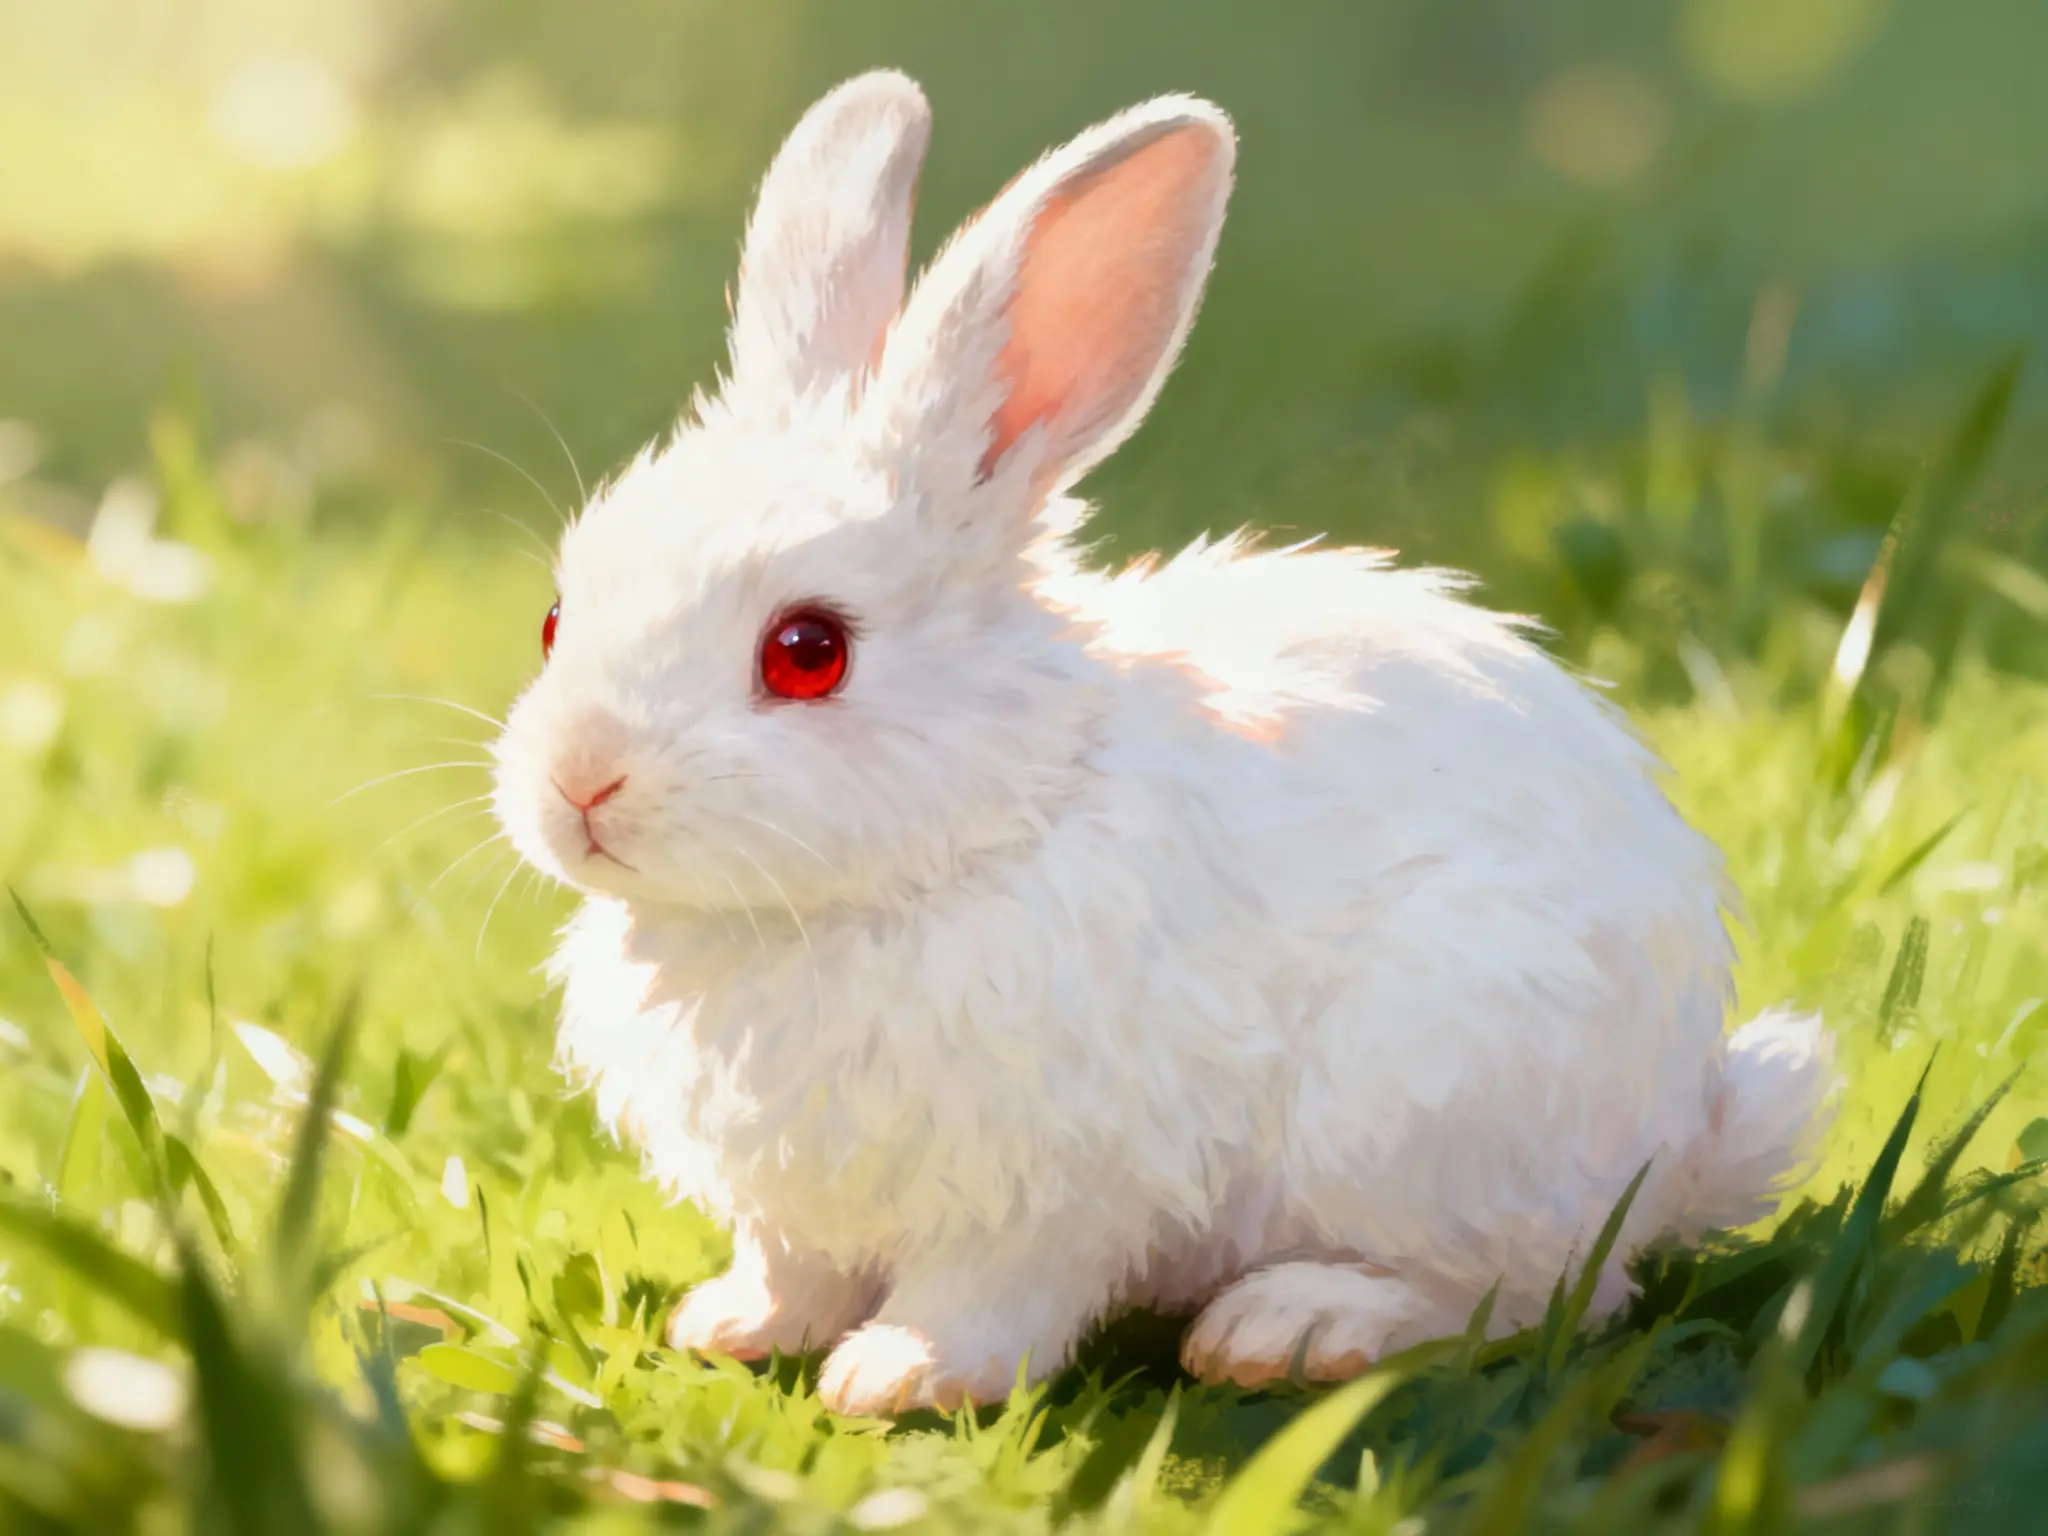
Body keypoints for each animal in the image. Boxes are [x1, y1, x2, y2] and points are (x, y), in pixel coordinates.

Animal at [489, 69, 1836, 1415]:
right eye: (553, 618)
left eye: (807, 650)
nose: (581, 785)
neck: (979, 823)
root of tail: (1683, 1133)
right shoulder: (799, 1212)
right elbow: (792, 1269)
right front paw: (734, 1328)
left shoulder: (1047, 1189)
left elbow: (989, 1296)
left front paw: (901, 1378)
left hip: (1428, 1106)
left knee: (1539, 1294)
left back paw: (1290, 1328)